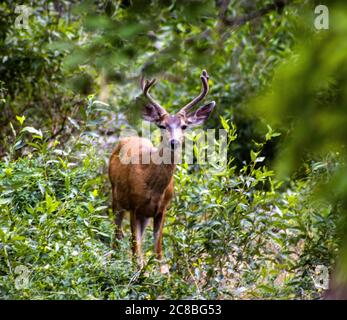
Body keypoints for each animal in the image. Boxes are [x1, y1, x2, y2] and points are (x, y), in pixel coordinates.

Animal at [109, 69, 216, 272]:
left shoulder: (162, 209)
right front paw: (138, 274)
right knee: (116, 236)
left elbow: (157, 250)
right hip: (116, 198)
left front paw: (160, 273)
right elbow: (135, 249)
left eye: (184, 126)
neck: (152, 184)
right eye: (162, 125)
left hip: (143, 215)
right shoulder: (134, 206)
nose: (174, 142)